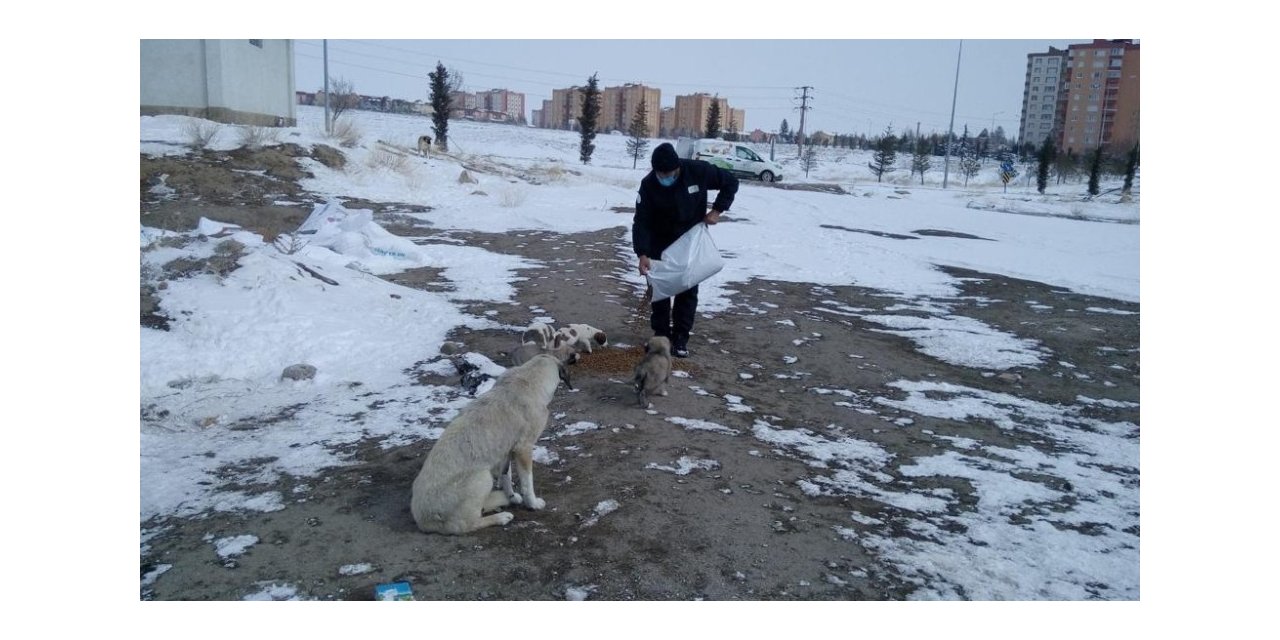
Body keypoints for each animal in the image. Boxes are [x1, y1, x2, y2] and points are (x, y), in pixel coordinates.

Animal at [412, 355, 573, 535]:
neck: (528, 379)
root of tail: (423, 521)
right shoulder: (523, 448)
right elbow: (527, 482)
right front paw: (533, 504)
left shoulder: (505, 452)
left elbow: (506, 476)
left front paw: (512, 496)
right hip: (482, 478)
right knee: (466, 524)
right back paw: (501, 517)